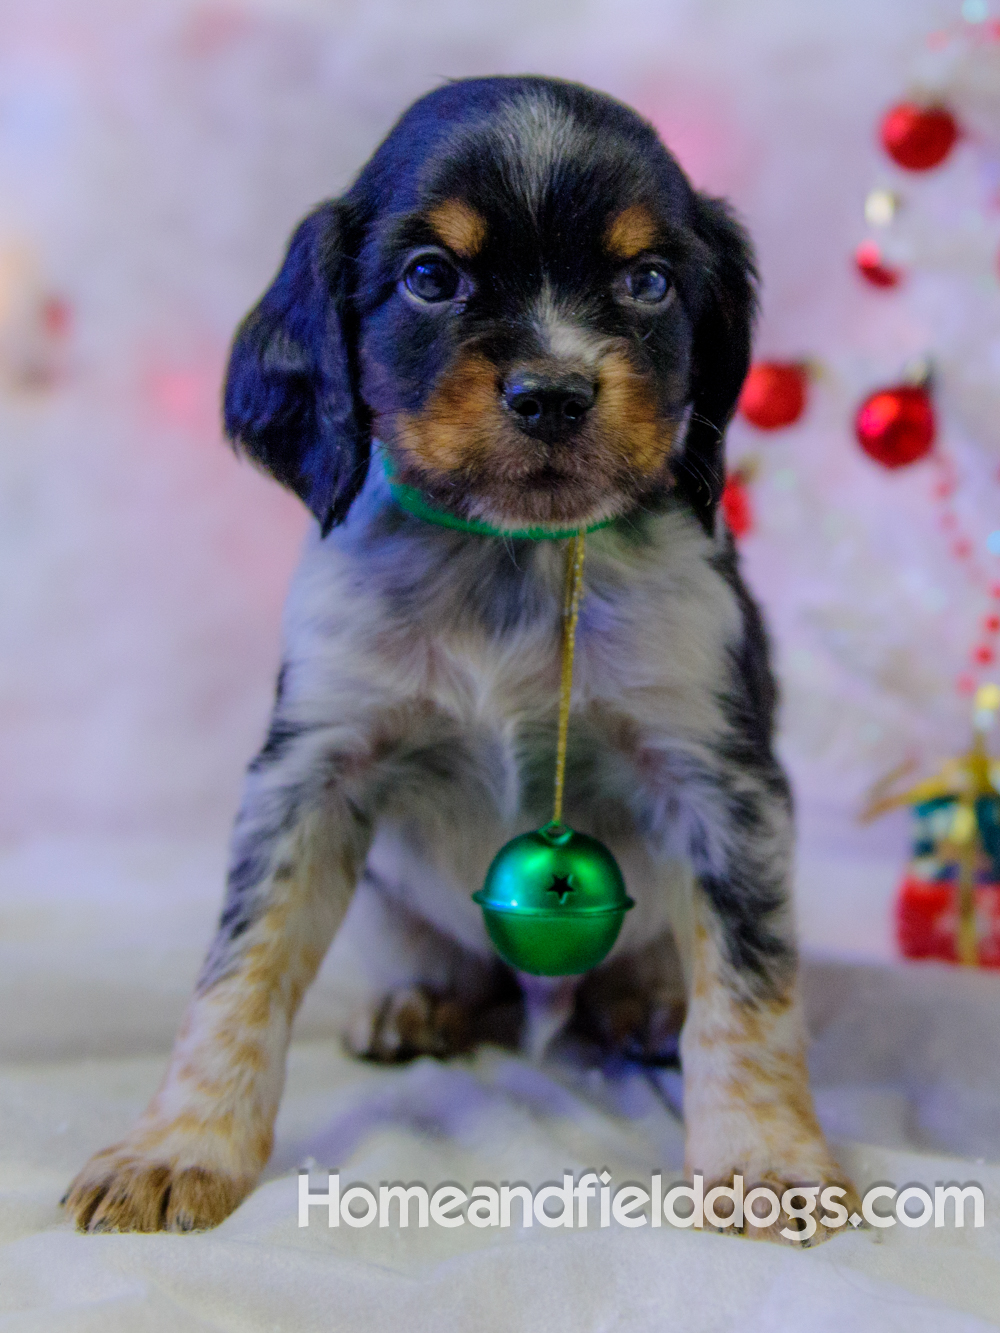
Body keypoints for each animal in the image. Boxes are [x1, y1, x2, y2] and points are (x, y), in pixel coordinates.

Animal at [66, 75, 858, 1237]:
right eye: (431, 276)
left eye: (648, 280)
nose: (553, 393)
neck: (511, 559)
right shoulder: (307, 774)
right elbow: (239, 971)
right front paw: (177, 1147)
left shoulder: (723, 781)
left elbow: (750, 986)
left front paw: (766, 1161)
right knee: (435, 959)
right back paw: (421, 1001)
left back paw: (640, 1001)